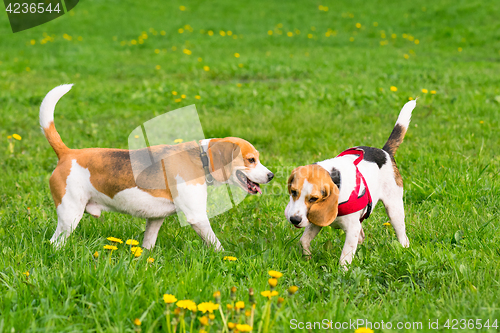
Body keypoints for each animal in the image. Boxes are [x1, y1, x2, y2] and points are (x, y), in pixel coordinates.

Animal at [41, 84, 274, 250]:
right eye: (251, 160)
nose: (271, 175)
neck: (200, 159)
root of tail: (67, 153)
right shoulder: (197, 216)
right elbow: (216, 244)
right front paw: (226, 257)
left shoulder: (155, 219)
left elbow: (148, 243)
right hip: (70, 214)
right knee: (54, 242)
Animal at [286, 100, 418, 268]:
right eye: (293, 192)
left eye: (314, 199)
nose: (294, 220)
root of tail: (385, 151)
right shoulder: (316, 220)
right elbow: (304, 240)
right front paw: (307, 258)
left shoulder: (351, 229)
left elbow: (345, 258)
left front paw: (342, 272)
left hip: (394, 209)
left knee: (402, 235)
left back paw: (403, 249)